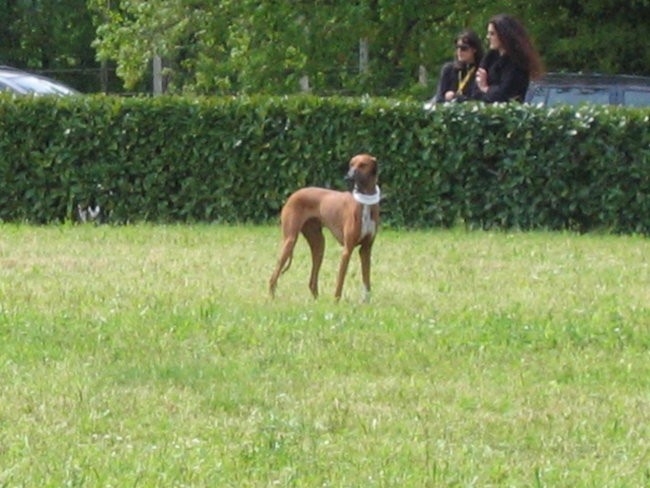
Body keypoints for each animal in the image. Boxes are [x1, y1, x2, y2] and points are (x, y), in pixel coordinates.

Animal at [268, 154, 380, 300]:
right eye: (351, 164)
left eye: (363, 165)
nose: (348, 177)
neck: (365, 202)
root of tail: (293, 194)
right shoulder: (347, 250)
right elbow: (340, 281)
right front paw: (336, 302)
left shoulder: (366, 250)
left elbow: (366, 281)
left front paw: (366, 302)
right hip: (290, 240)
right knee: (273, 277)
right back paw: (272, 299)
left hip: (319, 245)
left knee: (312, 282)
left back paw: (316, 301)